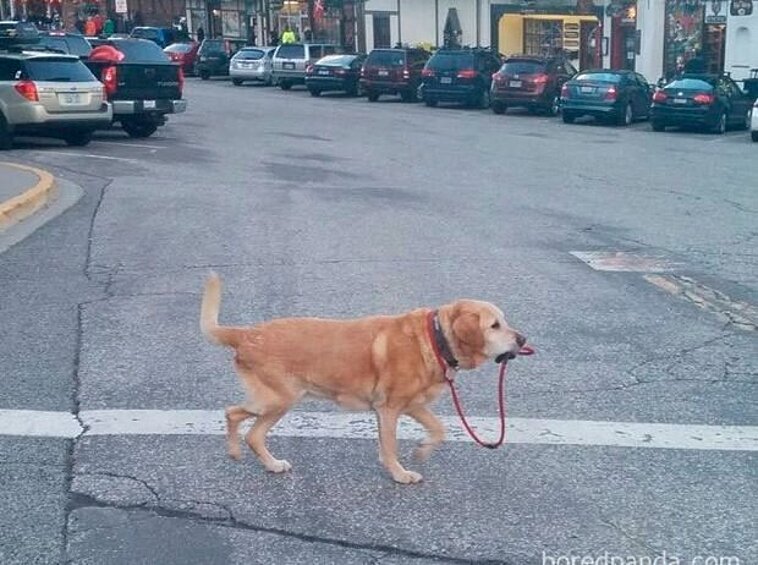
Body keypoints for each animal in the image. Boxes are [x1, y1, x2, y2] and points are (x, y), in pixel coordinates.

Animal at [199, 272, 524, 480]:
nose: (523, 339)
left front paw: (421, 451)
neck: (435, 338)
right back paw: (247, 454)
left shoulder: (414, 406)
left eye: (503, 322)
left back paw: (257, 460)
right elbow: (390, 445)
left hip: (277, 401)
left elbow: (438, 428)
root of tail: (246, 334)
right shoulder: (389, 408)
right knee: (238, 419)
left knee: (242, 424)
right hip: (279, 399)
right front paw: (400, 474)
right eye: (494, 325)